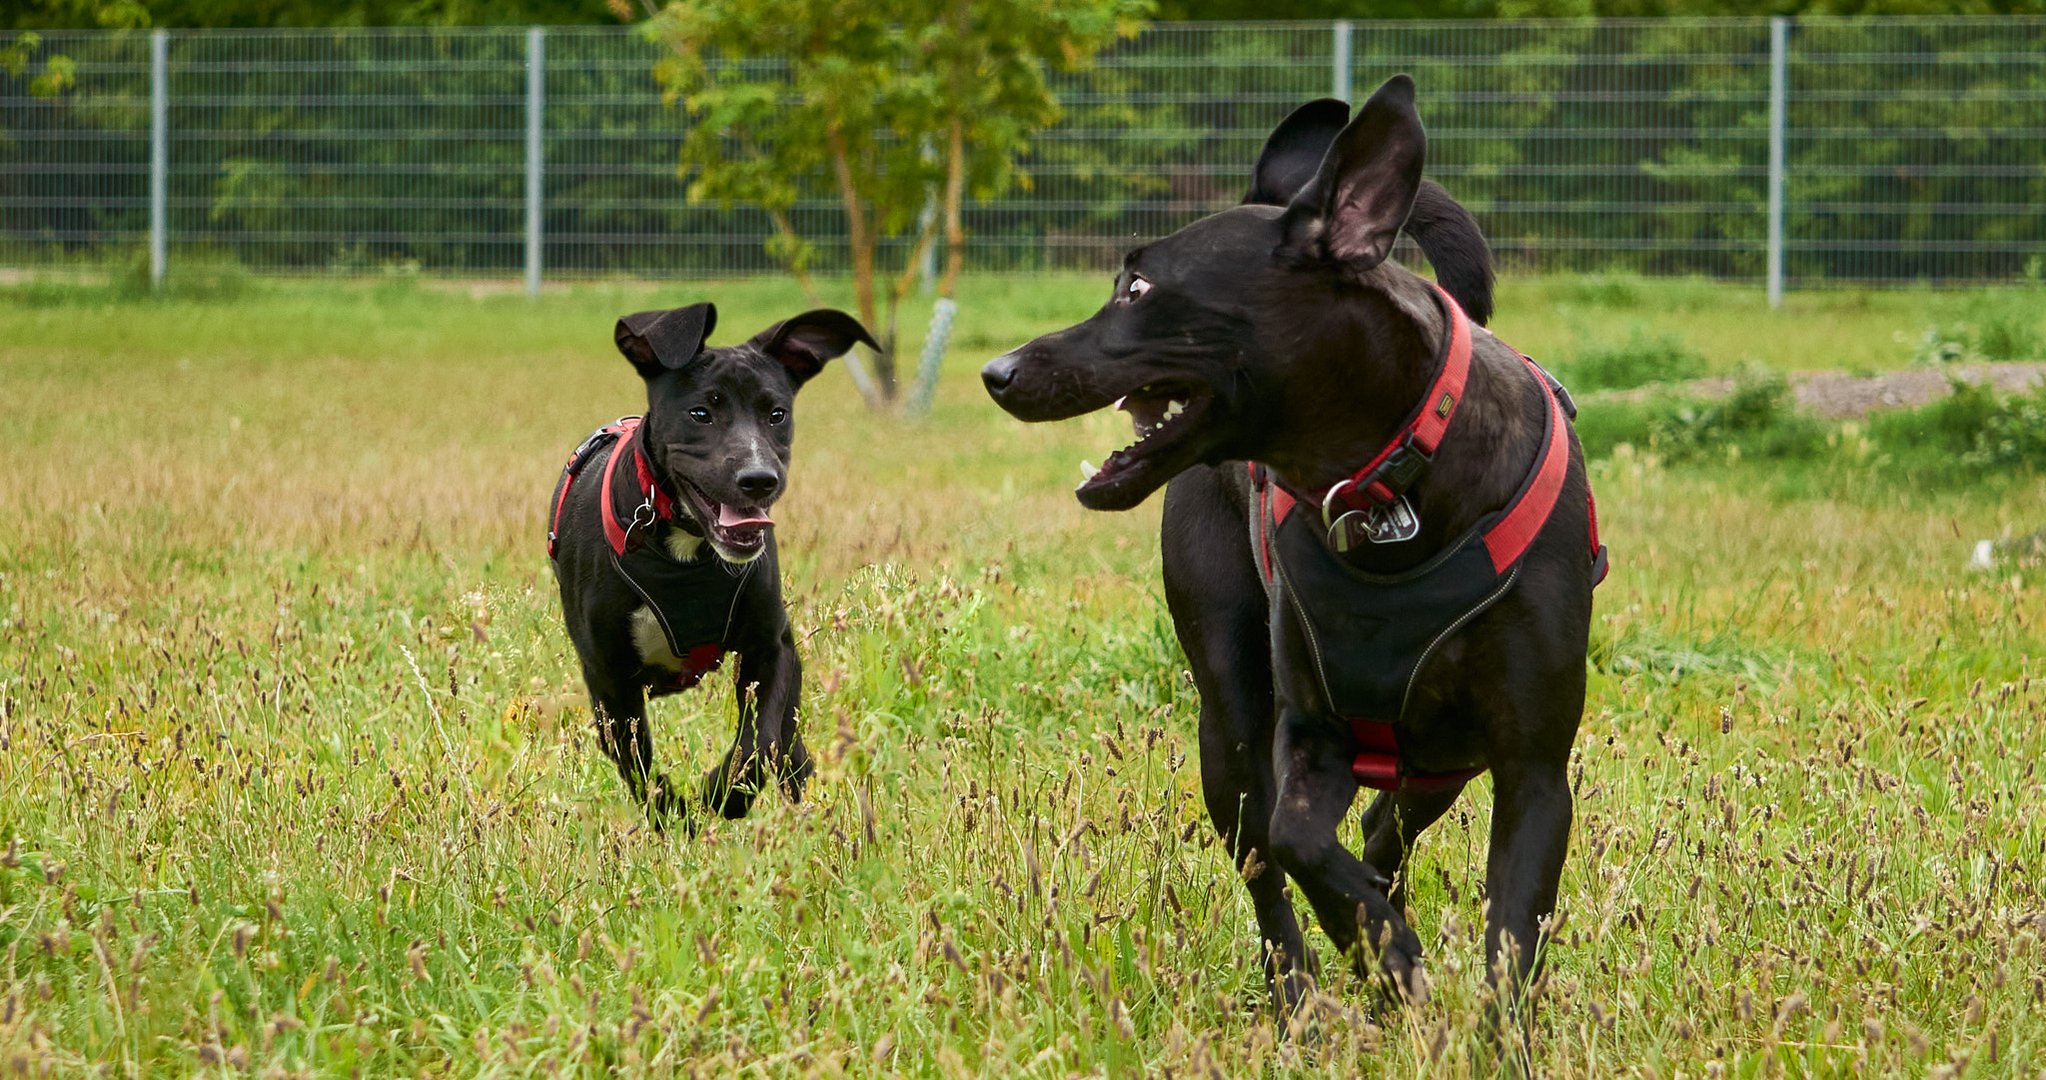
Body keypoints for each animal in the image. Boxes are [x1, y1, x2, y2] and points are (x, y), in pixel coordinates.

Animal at [548, 298, 875, 822]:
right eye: (700, 413)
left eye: (776, 413)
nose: (758, 479)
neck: (686, 550)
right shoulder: (608, 679)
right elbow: (640, 768)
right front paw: (678, 815)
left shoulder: (771, 646)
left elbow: (760, 740)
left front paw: (723, 793)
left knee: (787, 743)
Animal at [982, 75, 1604, 1030]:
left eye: (1140, 285)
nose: (999, 371)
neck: (1389, 500)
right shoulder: (1307, 735)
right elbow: (1299, 841)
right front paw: (1387, 954)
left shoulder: (1532, 769)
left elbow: (1510, 946)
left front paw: (1465, 1017)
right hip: (1229, 725)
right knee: (1266, 863)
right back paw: (1301, 999)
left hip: (1445, 760)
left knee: (1388, 826)